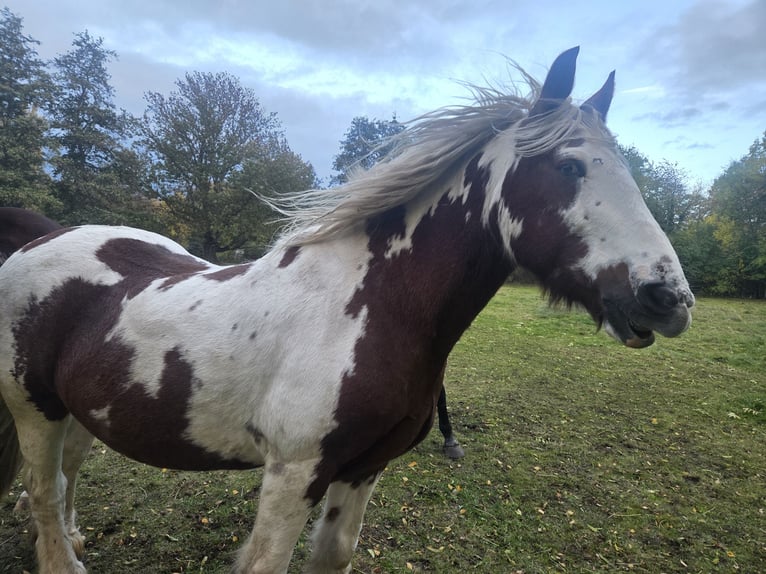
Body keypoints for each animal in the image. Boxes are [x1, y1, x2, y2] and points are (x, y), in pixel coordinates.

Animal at [0, 47, 693, 574]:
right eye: (570, 166)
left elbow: (332, 556)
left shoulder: (364, 470)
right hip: (34, 409)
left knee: (63, 480)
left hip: (79, 411)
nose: (669, 299)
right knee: (42, 491)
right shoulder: (293, 474)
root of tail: (37, 241)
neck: (366, 310)